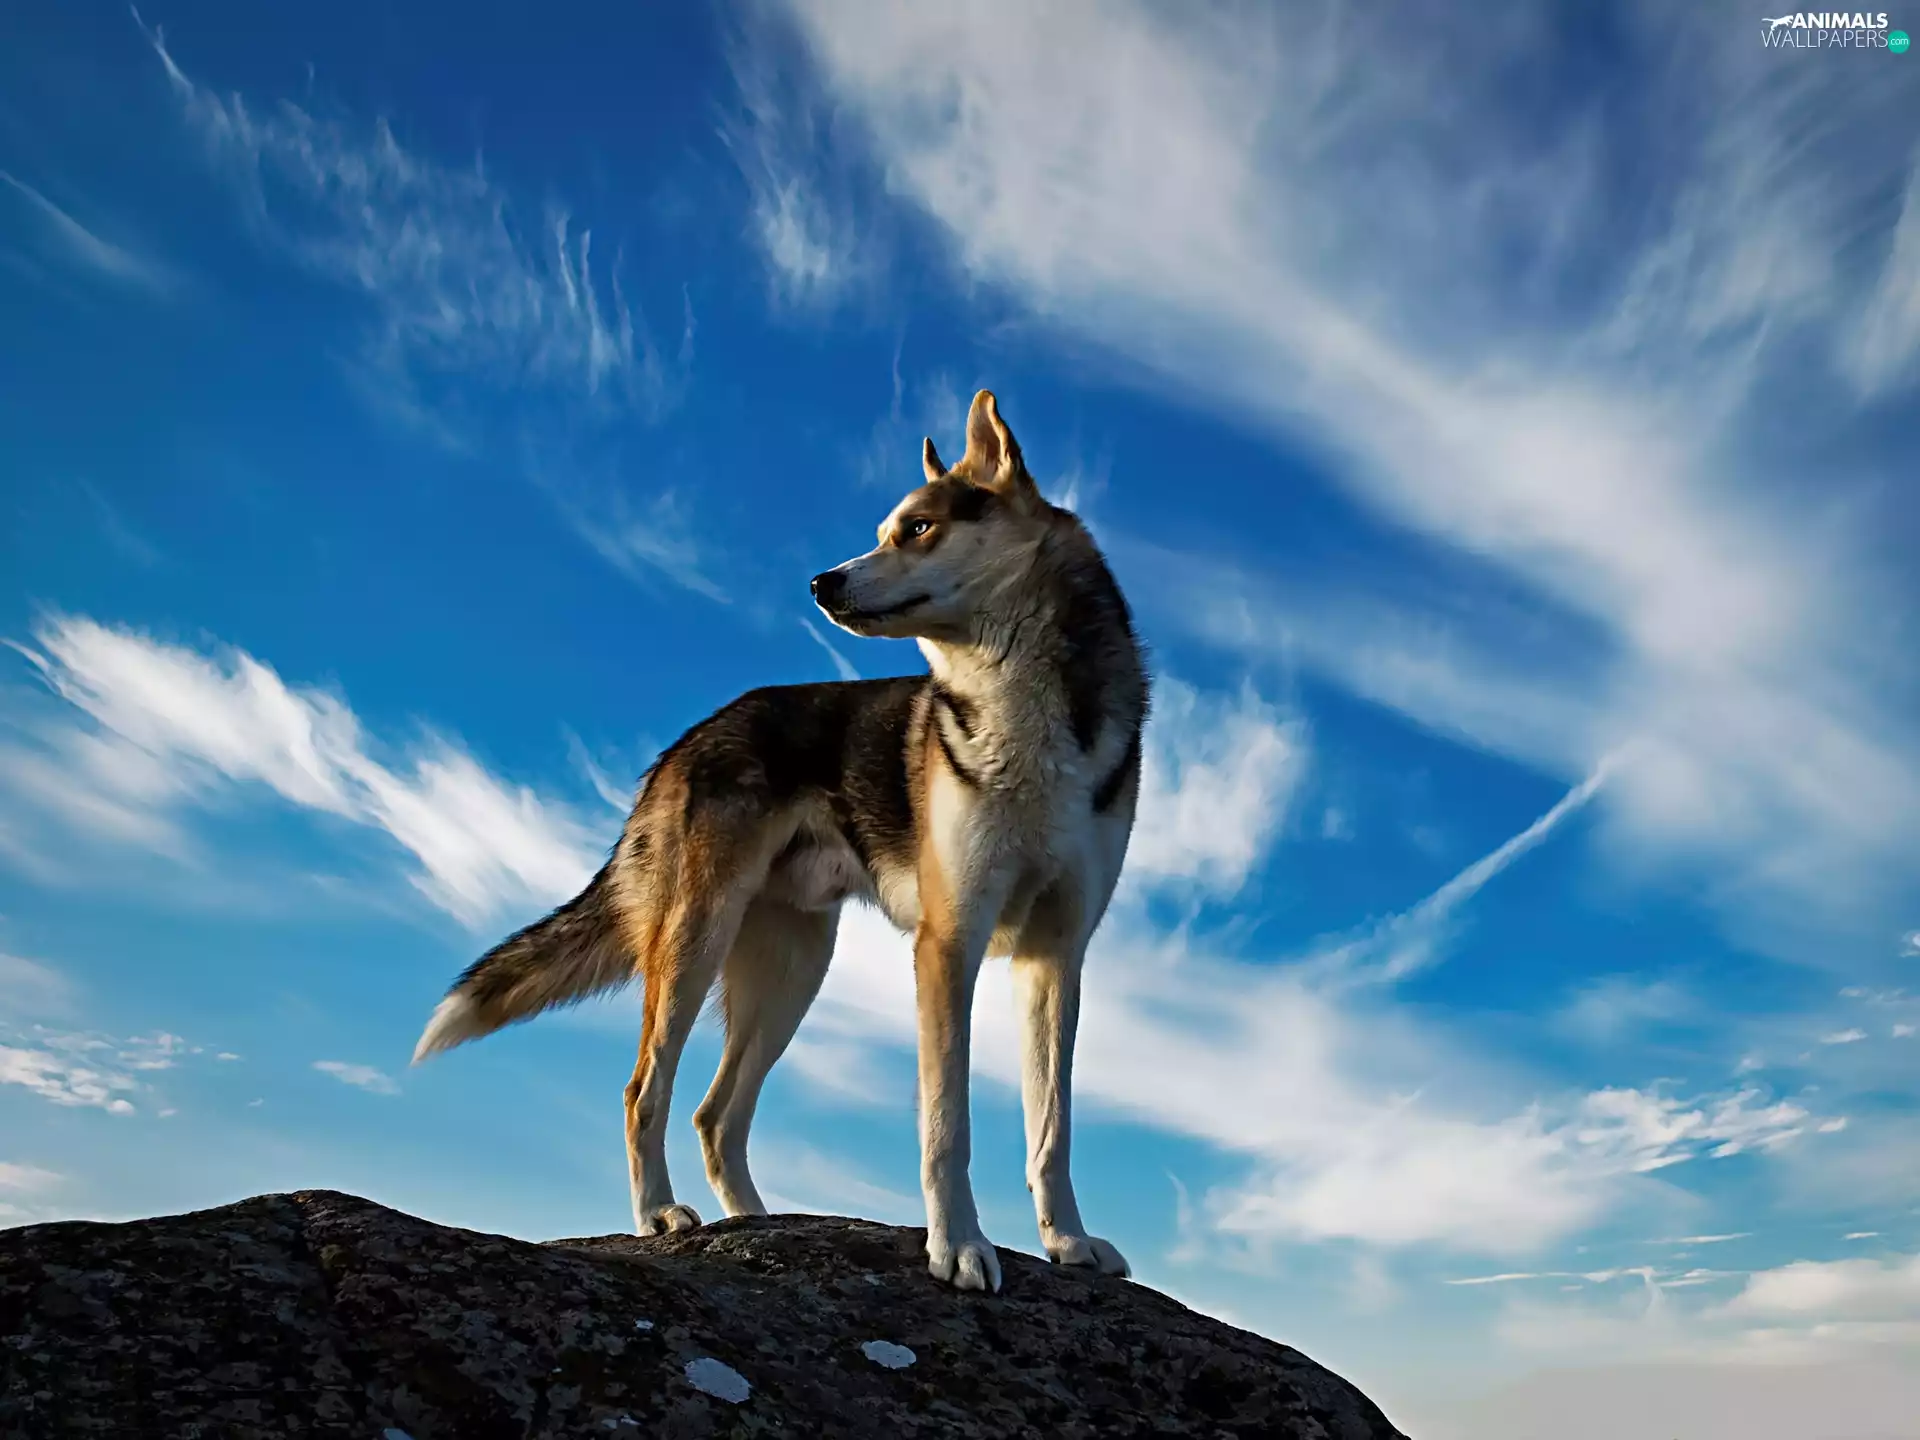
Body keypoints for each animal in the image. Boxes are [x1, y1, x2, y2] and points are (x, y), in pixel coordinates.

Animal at [412, 390, 1147, 1292]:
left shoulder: (1055, 957)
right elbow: (948, 1126)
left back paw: (756, 1224)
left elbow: (1052, 1128)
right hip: (696, 945)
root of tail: (690, 739)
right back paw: (659, 1214)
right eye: (887, 529)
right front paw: (959, 1246)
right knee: (645, 1093)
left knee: (714, 1114)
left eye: (918, 528)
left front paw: (1067, 1242)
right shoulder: (949, 944)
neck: (1022, 712)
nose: (821, 581)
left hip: (792, 970)